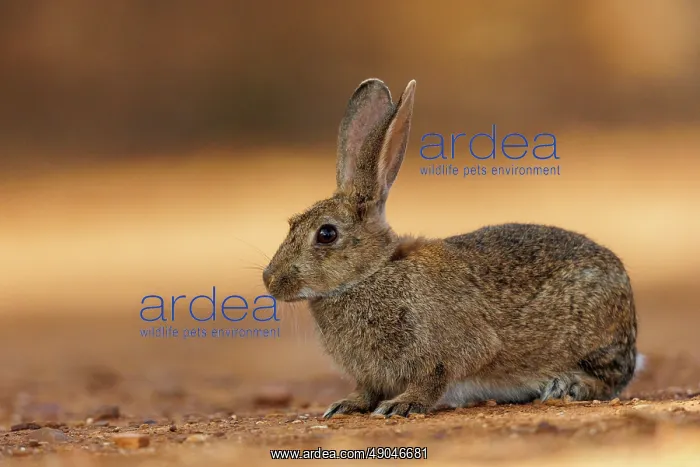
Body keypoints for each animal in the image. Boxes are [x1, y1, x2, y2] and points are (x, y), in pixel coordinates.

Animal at [262, 78, 639, 419]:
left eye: (326, 234)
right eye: (291, 223)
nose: (270, 281)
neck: (372, 273)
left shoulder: (453, 351)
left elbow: (435, 378)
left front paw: (400, 406)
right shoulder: (371, 375)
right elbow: (366, 390)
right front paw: (345, 405)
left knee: (609, 380)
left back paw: (566, 386)